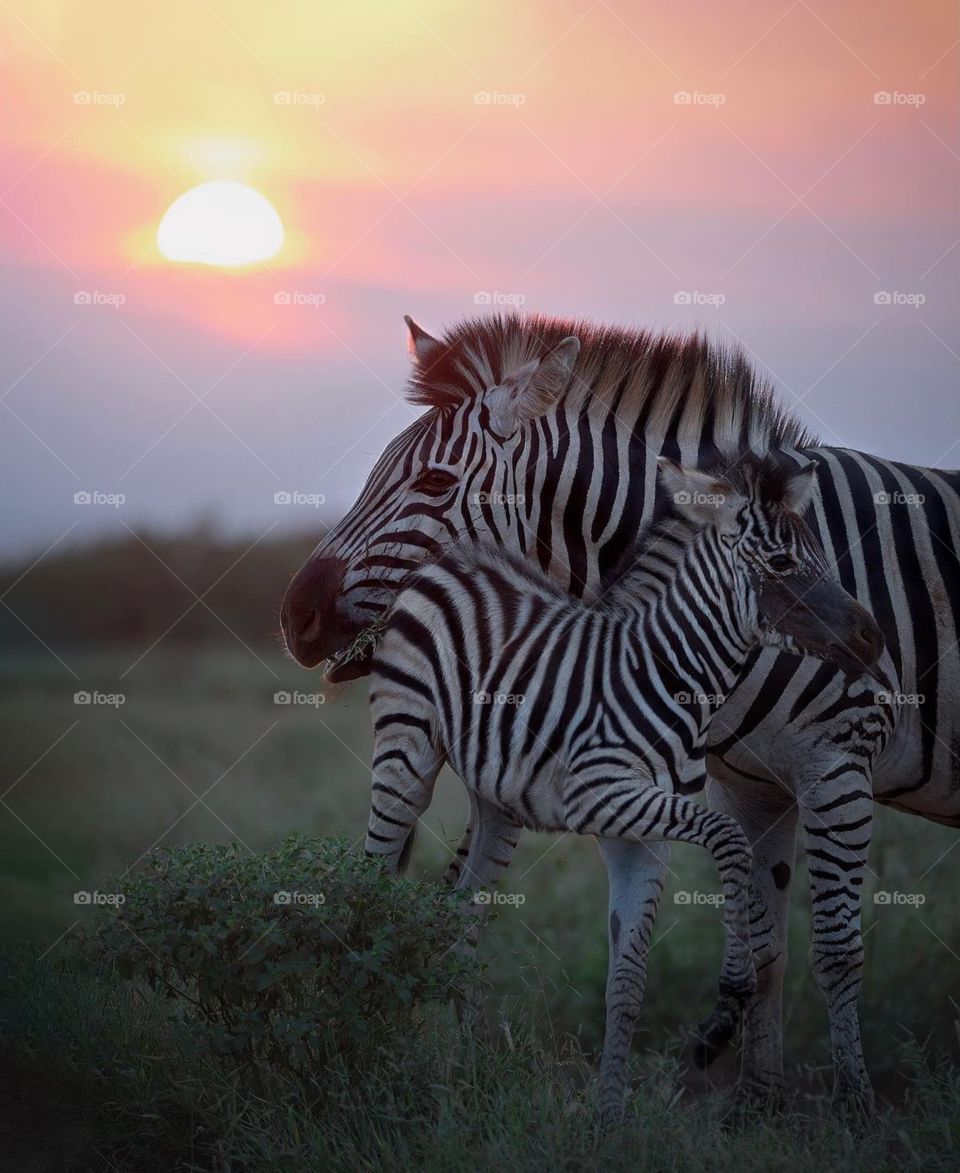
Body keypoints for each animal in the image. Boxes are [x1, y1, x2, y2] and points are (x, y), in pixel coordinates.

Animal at [364, 453, 883, 1118]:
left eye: (821, 552)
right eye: (783, 563)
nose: (873, 637)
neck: (669, 676)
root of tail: (447, 561)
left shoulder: (642, 832)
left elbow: (627, 979)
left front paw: (609, 1112)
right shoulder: (603, 795)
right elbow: (729, 840)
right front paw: (725, 1010)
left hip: (497, 798)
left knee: (462, 918)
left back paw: (468, 1071)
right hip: (405, 751)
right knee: (373, 879)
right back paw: (369, 1040)